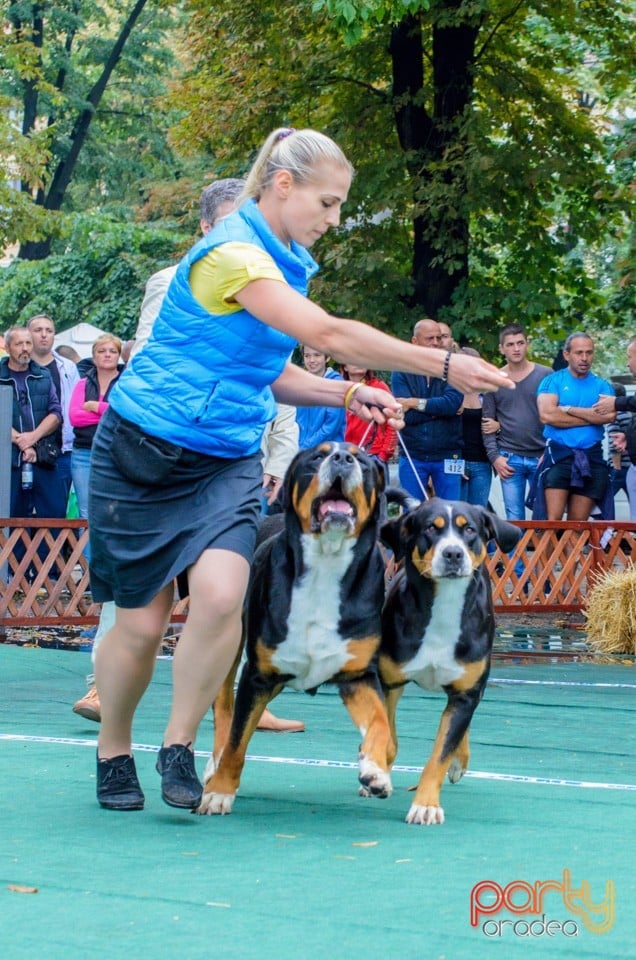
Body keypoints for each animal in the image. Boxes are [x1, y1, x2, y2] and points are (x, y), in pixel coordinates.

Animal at [199, 442, 400, 816]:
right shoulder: (258, 675)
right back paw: (213, 764)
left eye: (361, 460)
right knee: (224, 708)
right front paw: (219, 791)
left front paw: (374, 770)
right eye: (317, 457)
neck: (326, 565)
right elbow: (237, 740)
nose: (342, 459)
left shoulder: (358, 675)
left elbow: (381, 724)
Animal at [378, 496, 520, 824]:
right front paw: (378, 773)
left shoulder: (466, 693)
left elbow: (441, 753)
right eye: (431, 528)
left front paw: (426, 804)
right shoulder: (388, 681)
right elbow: (388, 736)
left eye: (469, 530)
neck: (444, 607)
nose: (453, 553)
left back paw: (459, 762)